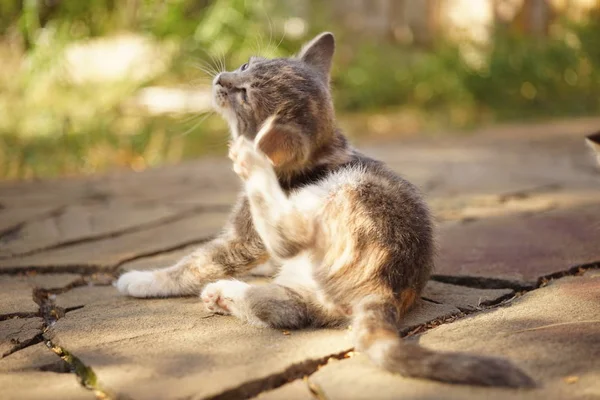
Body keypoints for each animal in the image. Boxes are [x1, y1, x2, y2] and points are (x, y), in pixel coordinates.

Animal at [117, 33, 536, 388]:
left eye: (245, 95)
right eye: (245, 63)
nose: (222, 78)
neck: (321, 153)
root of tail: (390, 284)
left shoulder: (242, 237)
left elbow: (198, 262)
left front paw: (144, 279)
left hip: (346, 193)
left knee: (287, 244)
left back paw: (250, 176)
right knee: (289, 308)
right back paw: (231, 293)